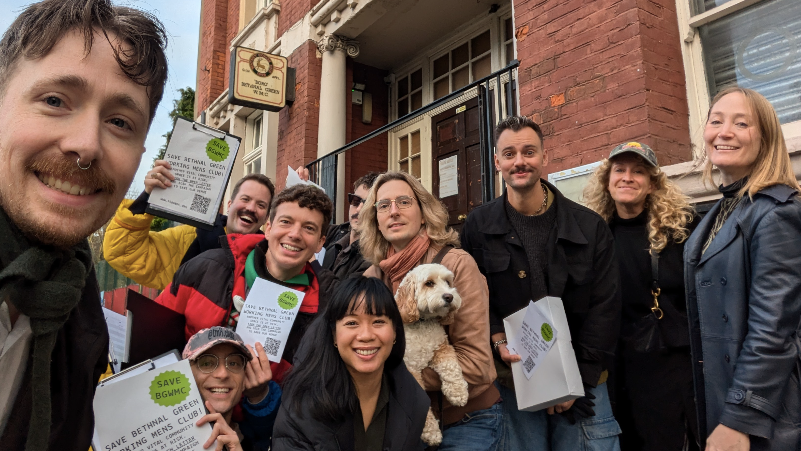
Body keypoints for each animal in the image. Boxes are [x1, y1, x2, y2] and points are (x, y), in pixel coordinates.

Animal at [394, 264, 468, 446]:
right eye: (429, 283)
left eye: (448, 282)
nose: (449, 296)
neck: (422, 323)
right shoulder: (409, 370)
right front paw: (431, 432)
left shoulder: (441, 347)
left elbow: (450, 366)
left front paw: (458, 392)